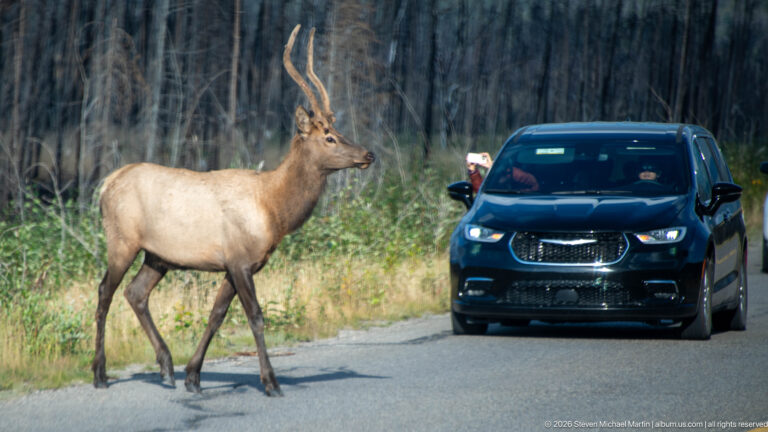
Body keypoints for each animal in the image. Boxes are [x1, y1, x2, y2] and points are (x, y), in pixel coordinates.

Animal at [91, 24, 375, 397]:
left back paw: (167, 366)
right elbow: (255, 316)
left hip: (158, 256)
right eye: (329, 137)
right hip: (122, 241)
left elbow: (217, 314)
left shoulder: (235, 264)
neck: (274, 210)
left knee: (135, 293)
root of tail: (105, 185)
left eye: (338, 130)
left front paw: (193, 377)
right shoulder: (240, 260)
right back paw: (100, 373)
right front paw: (271, 382)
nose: (368, 154)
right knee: (105, 292)